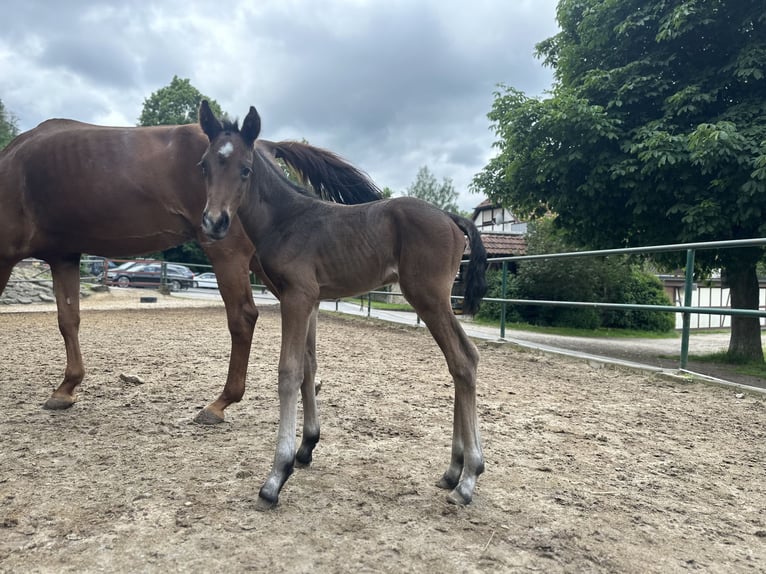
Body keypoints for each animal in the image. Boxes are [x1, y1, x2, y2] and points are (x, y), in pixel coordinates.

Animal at [0, 117, 381, 424]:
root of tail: (263, 145)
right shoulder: (64, 257)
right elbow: (69, 320)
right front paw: (66, 388)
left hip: (231, 255)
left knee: (243, 318)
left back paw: (220, 403)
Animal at [197, 100, 488, 507]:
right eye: (204, 166)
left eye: (245, 169)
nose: (215, 222)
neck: (286, 219)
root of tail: (450, 216)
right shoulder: (310, 299)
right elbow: (309, 366)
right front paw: (306, 447)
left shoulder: (298, 296)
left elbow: (288, 373)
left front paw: (276, 476)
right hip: (435, 300)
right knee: (463, 360)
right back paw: (454, 471)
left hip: (429, 297)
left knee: (462, 360)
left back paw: (468, 478)